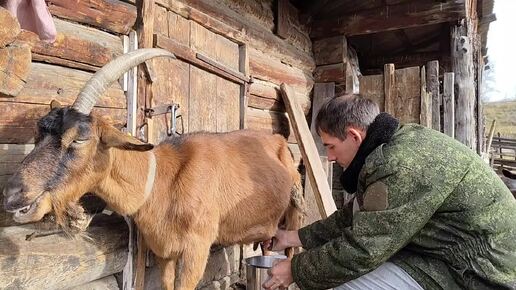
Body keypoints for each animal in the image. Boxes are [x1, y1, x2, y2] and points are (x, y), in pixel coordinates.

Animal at [3, 48, 302, 288]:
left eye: (79, 138)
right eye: (38, 132)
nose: (12, 194)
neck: (163, 182)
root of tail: (279, 142)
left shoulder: (197, 249)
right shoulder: (163, 251)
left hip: (293, 216)